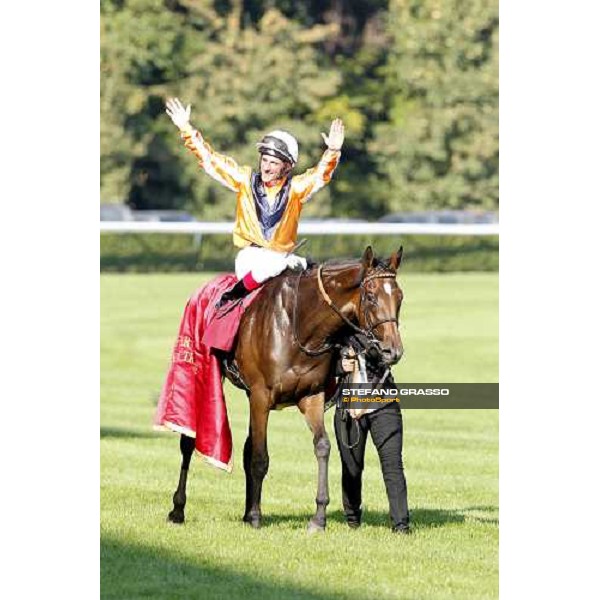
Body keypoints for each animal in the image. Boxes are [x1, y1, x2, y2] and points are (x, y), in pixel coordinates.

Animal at [166, 246, 406, 532]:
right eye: (370, 297)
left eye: (400, 297)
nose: (393, 350)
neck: (297, 325)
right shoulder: (261, 395)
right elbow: (260, 457)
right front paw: (256, 517)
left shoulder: (311, 396)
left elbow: (322, 446)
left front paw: (318, 517)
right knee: (189, 441)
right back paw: (178, 510)